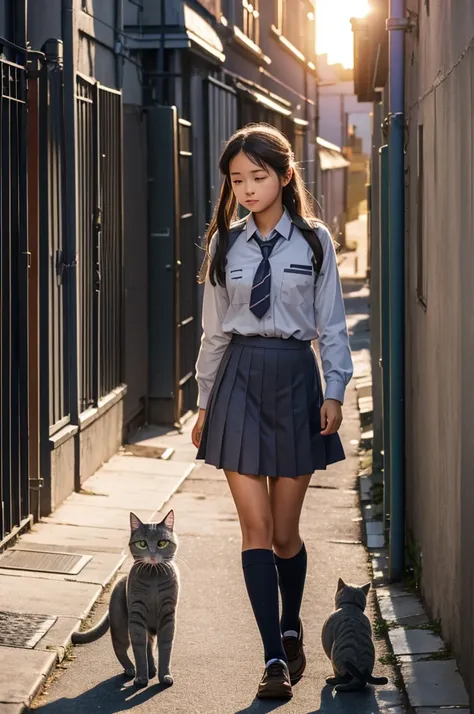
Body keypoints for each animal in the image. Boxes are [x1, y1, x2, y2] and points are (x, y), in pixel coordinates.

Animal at [71, 508, 179, 688]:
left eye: (161, 543)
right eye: (142, 544)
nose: (152, 555)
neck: (154, 579)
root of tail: (120, 581)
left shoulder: (168, 616)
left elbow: (165, 647)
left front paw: (165, 676)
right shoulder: (136, 615)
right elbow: (138, 648)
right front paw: (141, 678)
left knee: (149, 646)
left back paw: (152, 668)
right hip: (120, 624)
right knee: (120, 648)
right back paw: (131, 669)